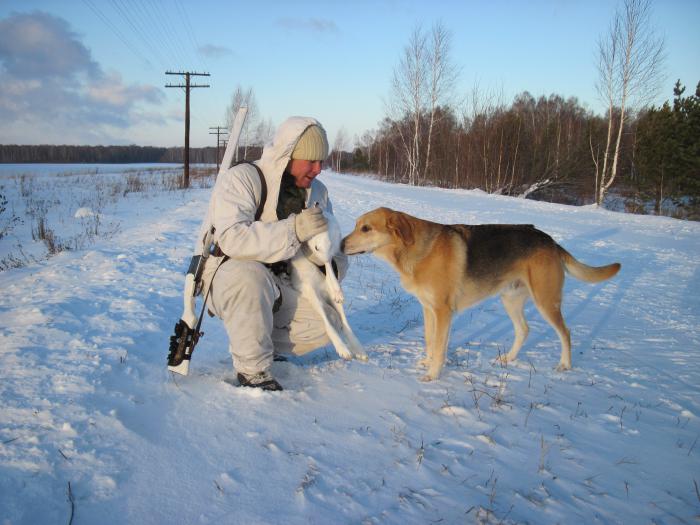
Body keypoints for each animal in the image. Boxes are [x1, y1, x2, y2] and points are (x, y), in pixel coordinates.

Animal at [342, 206, 620, 380]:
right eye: (356, 226)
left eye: (366, 228)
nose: (341, 244)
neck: (416, 251)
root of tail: (551, 241)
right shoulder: (429, 309)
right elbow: (431, 341)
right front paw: (427, 362)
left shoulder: (443, 311)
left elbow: (439, 346)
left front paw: (432, 375)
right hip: (511, 299)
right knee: (524, 330)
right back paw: (509, 358)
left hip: (546, 301)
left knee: (565, 332)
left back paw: (565, 364)